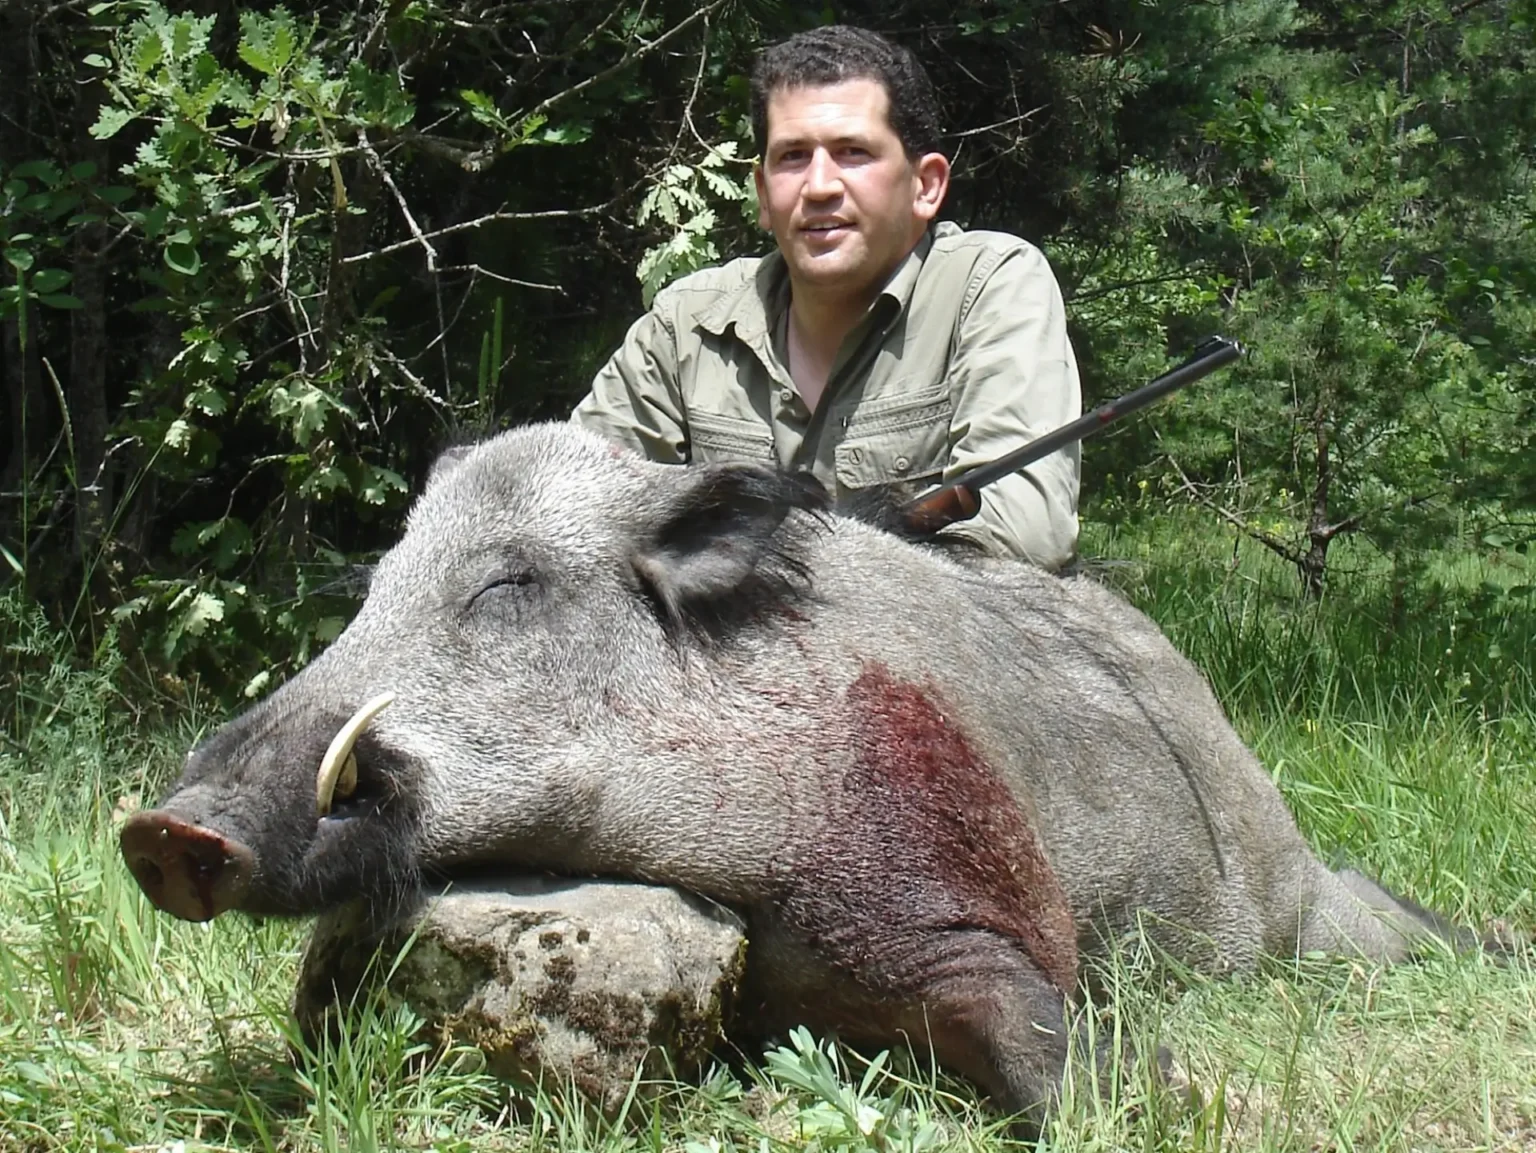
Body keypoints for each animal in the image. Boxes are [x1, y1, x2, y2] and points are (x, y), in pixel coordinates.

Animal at [120, 422, 1474, 1122]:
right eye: (375, 583)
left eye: (510, 582)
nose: (167, 830)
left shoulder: (960, 885)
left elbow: (1037, 1036)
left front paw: (1182, 1104)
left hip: (1296, 909)